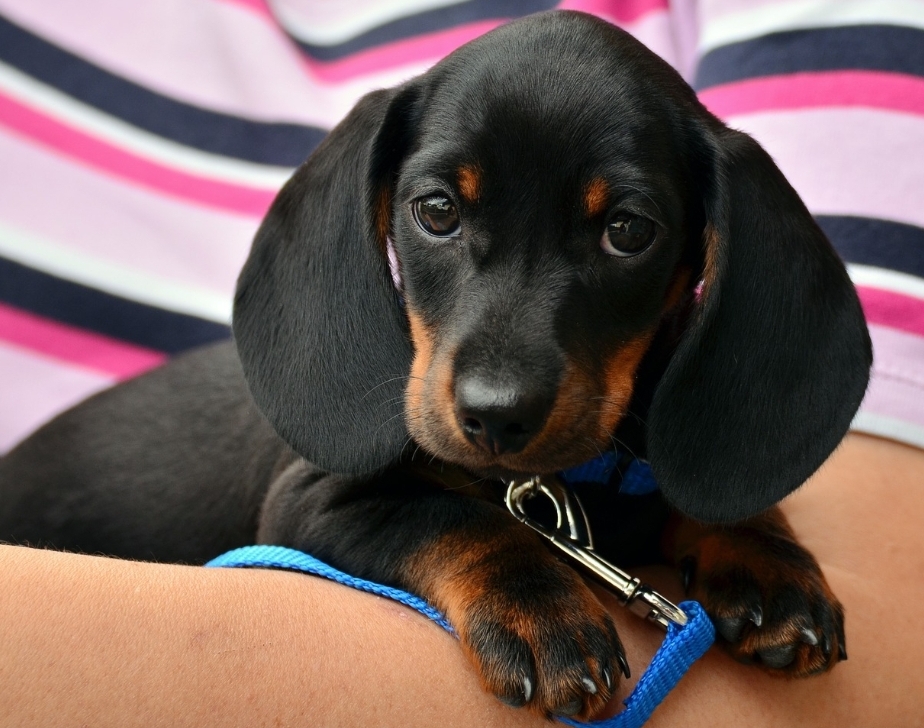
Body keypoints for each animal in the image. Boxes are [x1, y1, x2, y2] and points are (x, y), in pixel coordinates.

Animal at [0, 11, 868, 724]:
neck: (561, 486)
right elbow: (454, 516)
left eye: (628, 230)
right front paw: (540, 607)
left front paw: (764, 555)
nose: (496, 415)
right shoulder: (310, 502)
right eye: (438, 211)